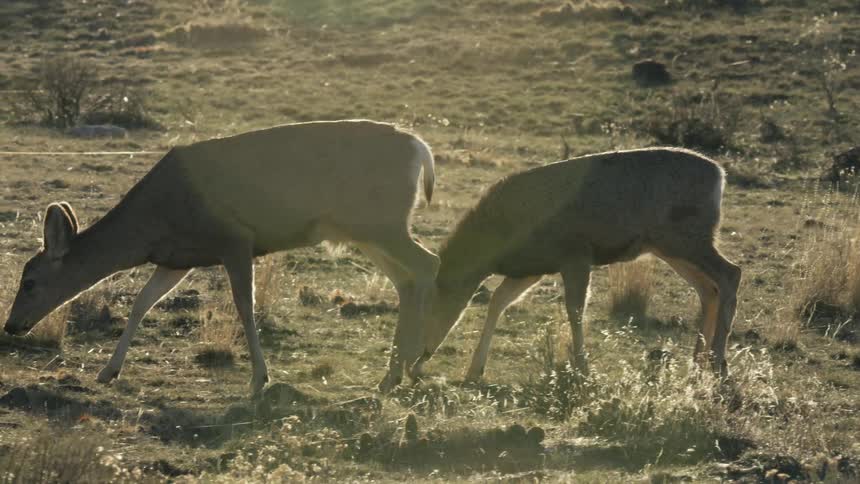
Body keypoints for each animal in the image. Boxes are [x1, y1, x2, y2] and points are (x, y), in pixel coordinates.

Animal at [3, 120, 440, 397]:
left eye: (29, 281)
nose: (11, 325)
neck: (152, 223)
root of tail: (420, 148)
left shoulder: (234, 239)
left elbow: (244, 306)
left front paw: (260, 379)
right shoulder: (177, 258)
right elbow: (142, 304)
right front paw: (108, 370)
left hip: (381, 222)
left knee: (428, 264)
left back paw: (414, 365)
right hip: (365, 230)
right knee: (406, 279)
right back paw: (394, 373)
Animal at [409, 147, 741, 383]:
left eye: (428, 305)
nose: (414, 359)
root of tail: (720, 177)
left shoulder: (575, 254)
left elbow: (575, 309)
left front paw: (582, 368)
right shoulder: (534, 267)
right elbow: (498, 301)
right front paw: (473, 370)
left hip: (687, 236)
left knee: (730, 273)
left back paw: (718, 365)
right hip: (671, 244)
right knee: (707, 288)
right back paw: (697, 363)